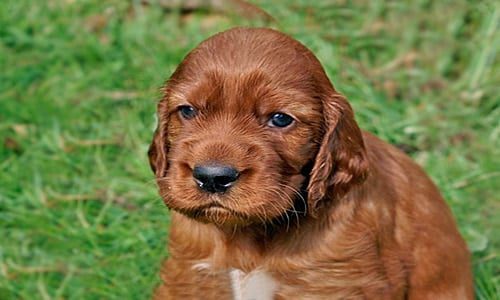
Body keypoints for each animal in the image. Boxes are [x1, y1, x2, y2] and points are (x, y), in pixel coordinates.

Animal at [148, 27, 472, 298]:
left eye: (280, 119)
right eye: (188, 111)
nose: (213, 177)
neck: (252, 235)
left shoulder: (333, 283)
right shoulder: (190, 277)